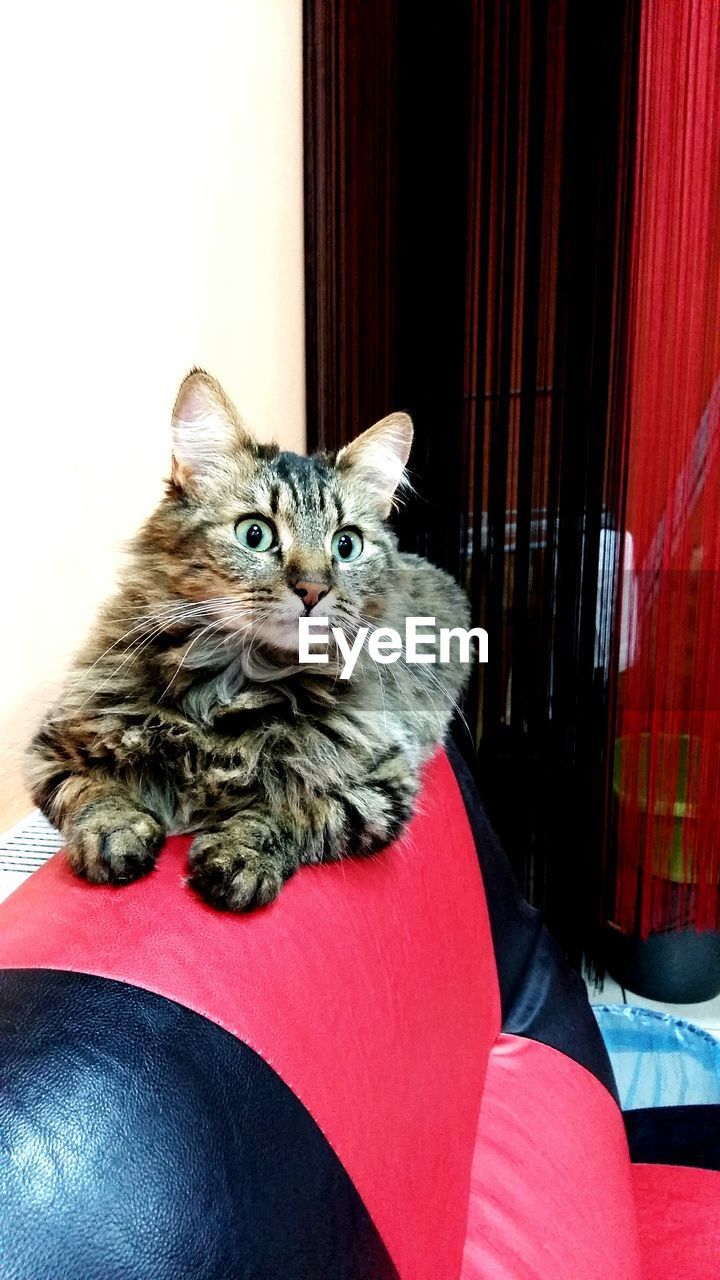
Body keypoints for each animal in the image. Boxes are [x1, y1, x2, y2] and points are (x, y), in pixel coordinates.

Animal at [28, 371, 474, 911]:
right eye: (255, 534)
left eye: (346, 545)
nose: (313, 588)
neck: (236, 680)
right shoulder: (55, 749)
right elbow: (94, 794)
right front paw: (116, 832)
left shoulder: (382, 784)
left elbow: (299, 809)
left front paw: (241, 854)